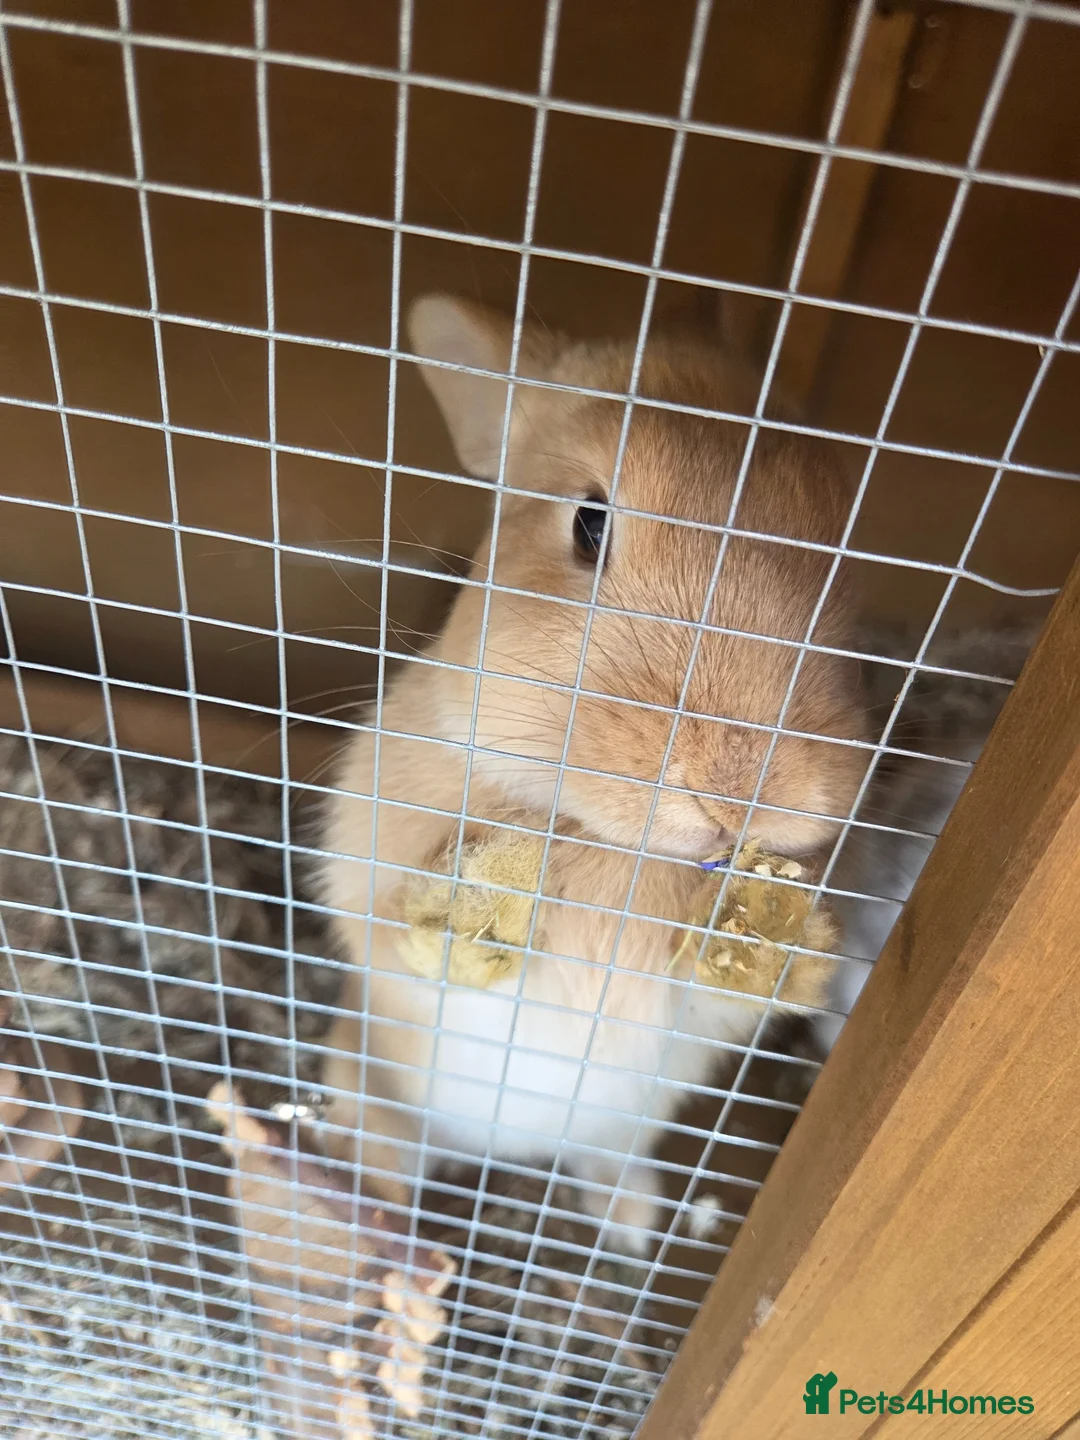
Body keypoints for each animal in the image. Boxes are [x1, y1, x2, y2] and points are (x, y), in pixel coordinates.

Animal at [317, 293, 870, 1255]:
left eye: (845, 563)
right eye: (589, 522)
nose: (739, 790)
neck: (612, 844)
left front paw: (781, 949)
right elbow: (415, 932)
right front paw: (471, 921)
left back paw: (634, 1224)